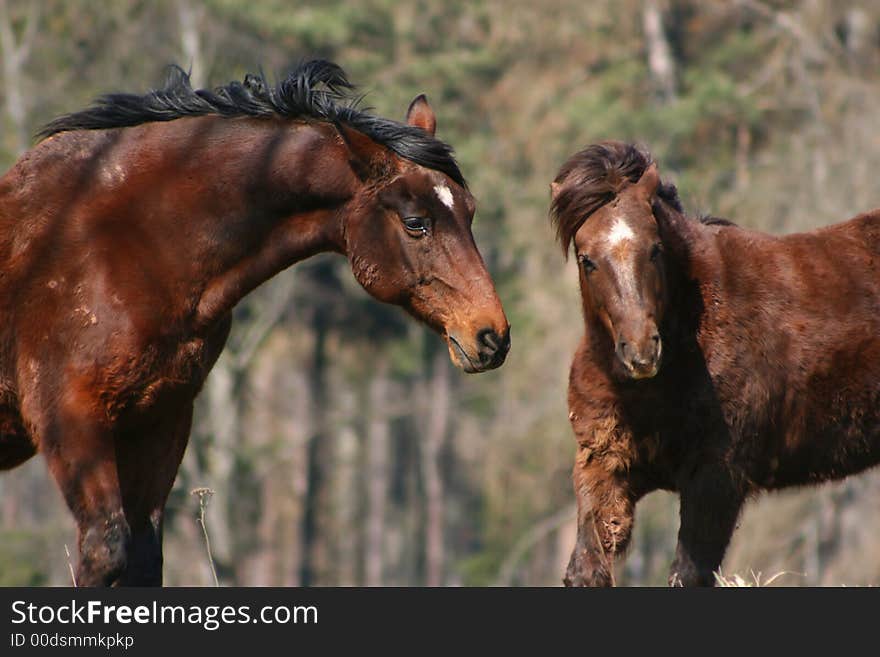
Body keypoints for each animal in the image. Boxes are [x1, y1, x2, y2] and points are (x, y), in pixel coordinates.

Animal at [0, 60, 508, 584]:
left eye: (469, 211)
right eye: (415, 222)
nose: (492, 335)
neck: (117, 242)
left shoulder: (160, 419)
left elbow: (143, 554)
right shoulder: (71, 420)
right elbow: (106, 549)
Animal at [552, 141, 880, 588]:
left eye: (655, 248)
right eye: (587, 259)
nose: (641, 351)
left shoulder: (716, 477)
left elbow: (687, 574)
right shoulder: (604, 466)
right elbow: (585, 569)